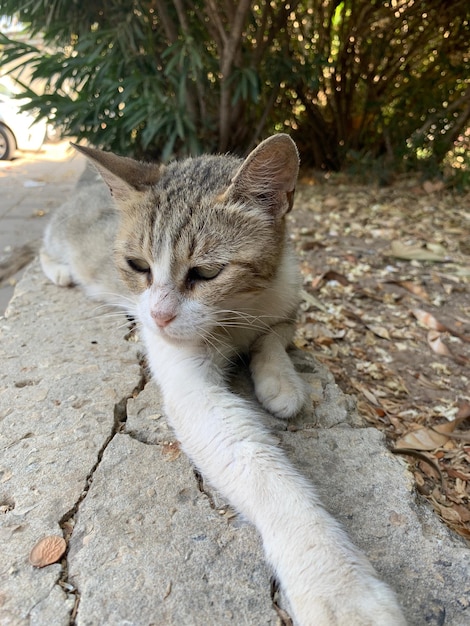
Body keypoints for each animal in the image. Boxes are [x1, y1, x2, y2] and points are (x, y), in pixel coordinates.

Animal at [41, 136, 408, 624]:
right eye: (137, 265)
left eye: (206, 272)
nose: (158, 316)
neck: (239, 311)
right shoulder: (191, 388)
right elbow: (262, 474)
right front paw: (339, 586)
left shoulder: (288, 304)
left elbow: (273, 338)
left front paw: (280, 381)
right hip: (62, 240)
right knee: (47, 248)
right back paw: (60, 271)